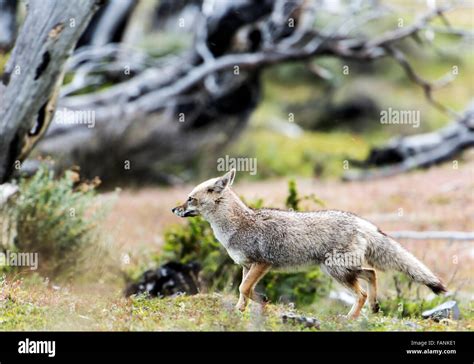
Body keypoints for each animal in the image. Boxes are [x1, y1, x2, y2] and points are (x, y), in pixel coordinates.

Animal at [172, 169, 446, 318]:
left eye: (190, 199)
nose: (174, 209)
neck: (237, 224)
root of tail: (361, 221)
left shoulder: (262, 263)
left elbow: (243, 288)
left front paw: (243, 309)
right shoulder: (246, 266)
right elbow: (244, 290)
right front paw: (242, 310)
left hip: (337, 270)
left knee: (363, 288)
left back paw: (350, 317)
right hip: (339, 269)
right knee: (372, 273)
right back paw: (375, 306)